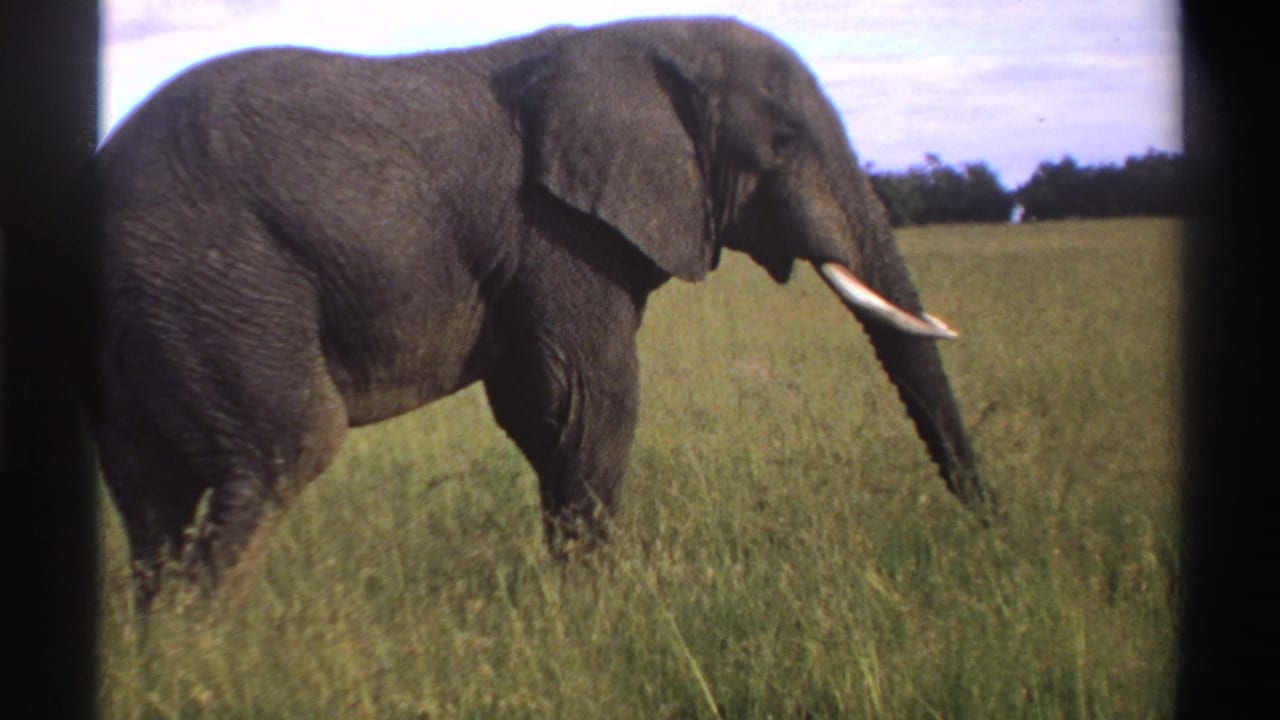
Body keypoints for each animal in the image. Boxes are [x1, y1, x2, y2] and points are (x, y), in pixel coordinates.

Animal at [81, 17, 990, 606]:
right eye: (784, 143)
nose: (991, 526)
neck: (639, 40)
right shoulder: (556, 231)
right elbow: (585, 403)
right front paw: (599, 613)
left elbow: (543, 411)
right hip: (215, 282)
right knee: (282, 448)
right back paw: (209, 651)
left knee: (152, 493)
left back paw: (167, 652)